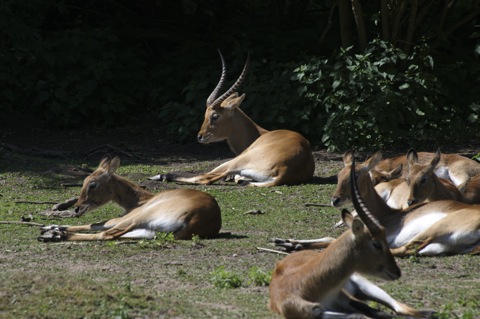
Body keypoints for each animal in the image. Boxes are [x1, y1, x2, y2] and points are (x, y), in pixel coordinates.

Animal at [37, 158, 221, 242]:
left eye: (92, 184)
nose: (77, 208)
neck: (140, 200)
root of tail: (196, 220)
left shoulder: (124, 217)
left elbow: (95, 224)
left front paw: (50, 227)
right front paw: (49, 226)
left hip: (139, 218)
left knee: (106, 234)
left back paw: (54, 235)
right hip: (151, 230)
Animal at [150, 52, 316, 188]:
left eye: (215, 116)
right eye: (205, 115)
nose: (200, 136)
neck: (260, 134)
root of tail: (285, 169)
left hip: (236, 161)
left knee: (206, 178)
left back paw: (161, 176)